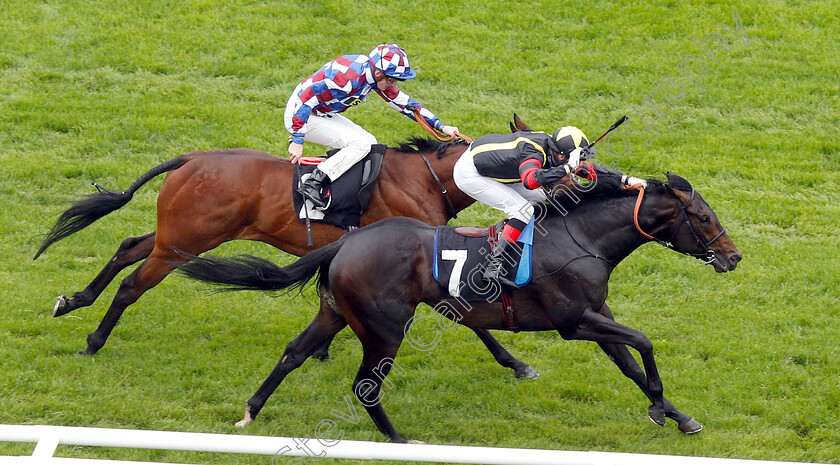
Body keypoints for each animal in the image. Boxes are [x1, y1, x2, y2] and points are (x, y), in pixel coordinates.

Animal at [34, 130, 540, 376]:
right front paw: (515, 363)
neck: (425, 179)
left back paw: (72, 301)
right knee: (131, 285)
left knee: (126, 249)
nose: (543, 204)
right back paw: (94, 341)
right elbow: (469, 317)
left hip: (176, 236)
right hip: (184, 243)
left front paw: (321, 348)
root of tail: (193, 158)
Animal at [177, 172, 740, 440]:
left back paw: (250, 413)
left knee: (294, 353)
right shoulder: (573, 322)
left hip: (335, 312)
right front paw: (660, 409)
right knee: (364, 387)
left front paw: (677, 416)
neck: (581, 236)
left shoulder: (595, 318)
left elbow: (632, 364)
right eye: (704, 218)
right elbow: (643, 343)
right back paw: (400, 442)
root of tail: (348, 241)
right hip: (385, 329)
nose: (733, 257)